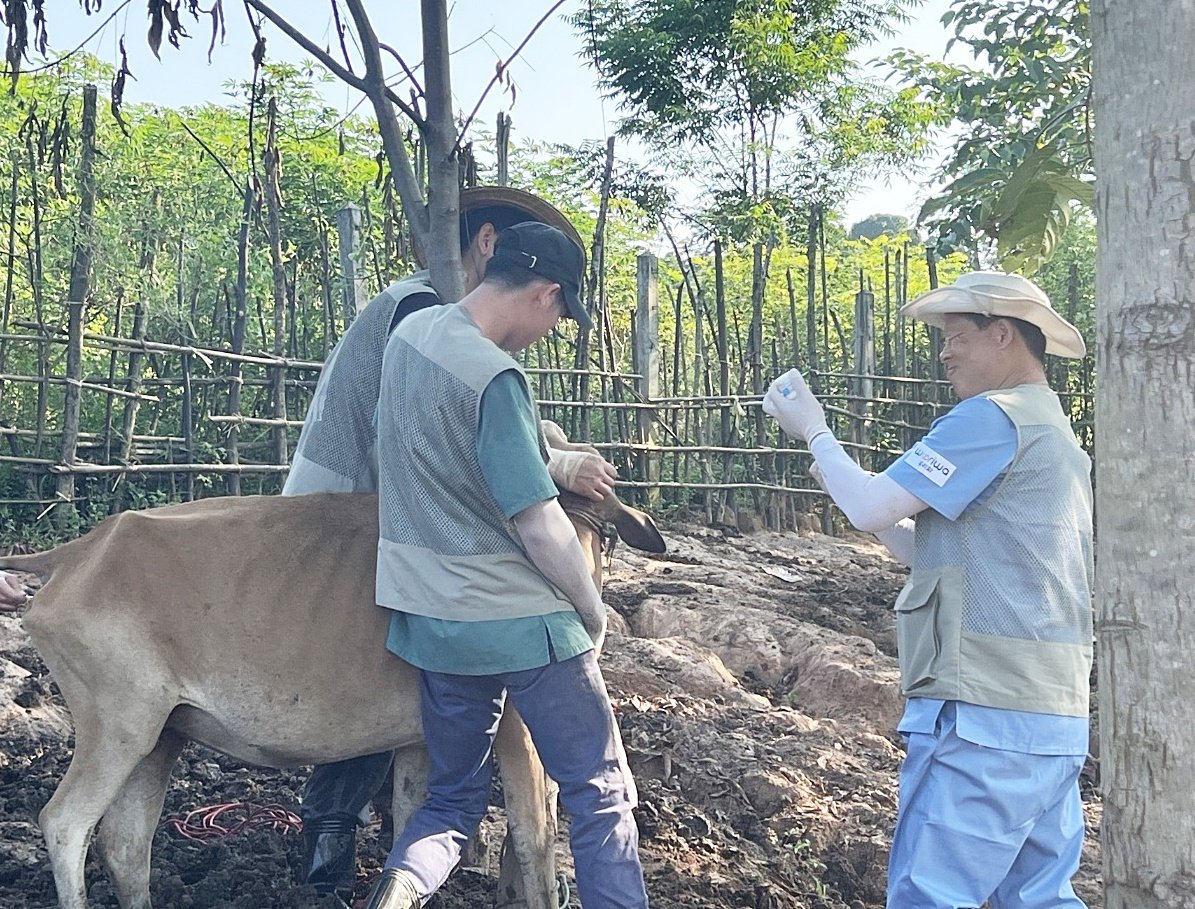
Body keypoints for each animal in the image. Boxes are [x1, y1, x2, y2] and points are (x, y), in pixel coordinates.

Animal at [0, 489, 664, 907]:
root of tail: (81, 550)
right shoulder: (517, 724)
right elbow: (534, 834)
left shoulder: (422, 739)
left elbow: (415, 827)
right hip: (119, 726)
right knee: (65, 824)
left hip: (161, 734)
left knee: (125, 844)